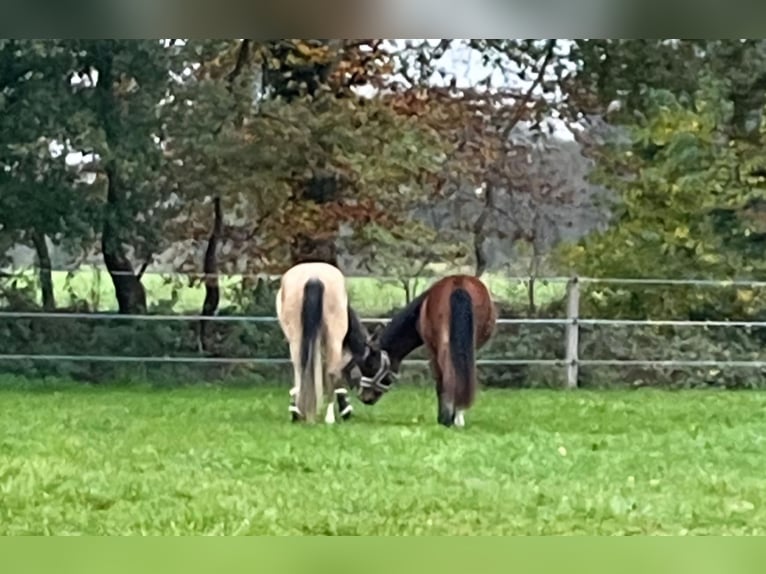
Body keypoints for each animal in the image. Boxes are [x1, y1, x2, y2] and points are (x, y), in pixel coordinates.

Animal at [275, 262, 370, 424]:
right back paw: (330, 416)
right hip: (334, 337)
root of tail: (314, 276)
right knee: (332, 372)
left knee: (299, 369)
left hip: (296, 339)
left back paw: (298, 412)